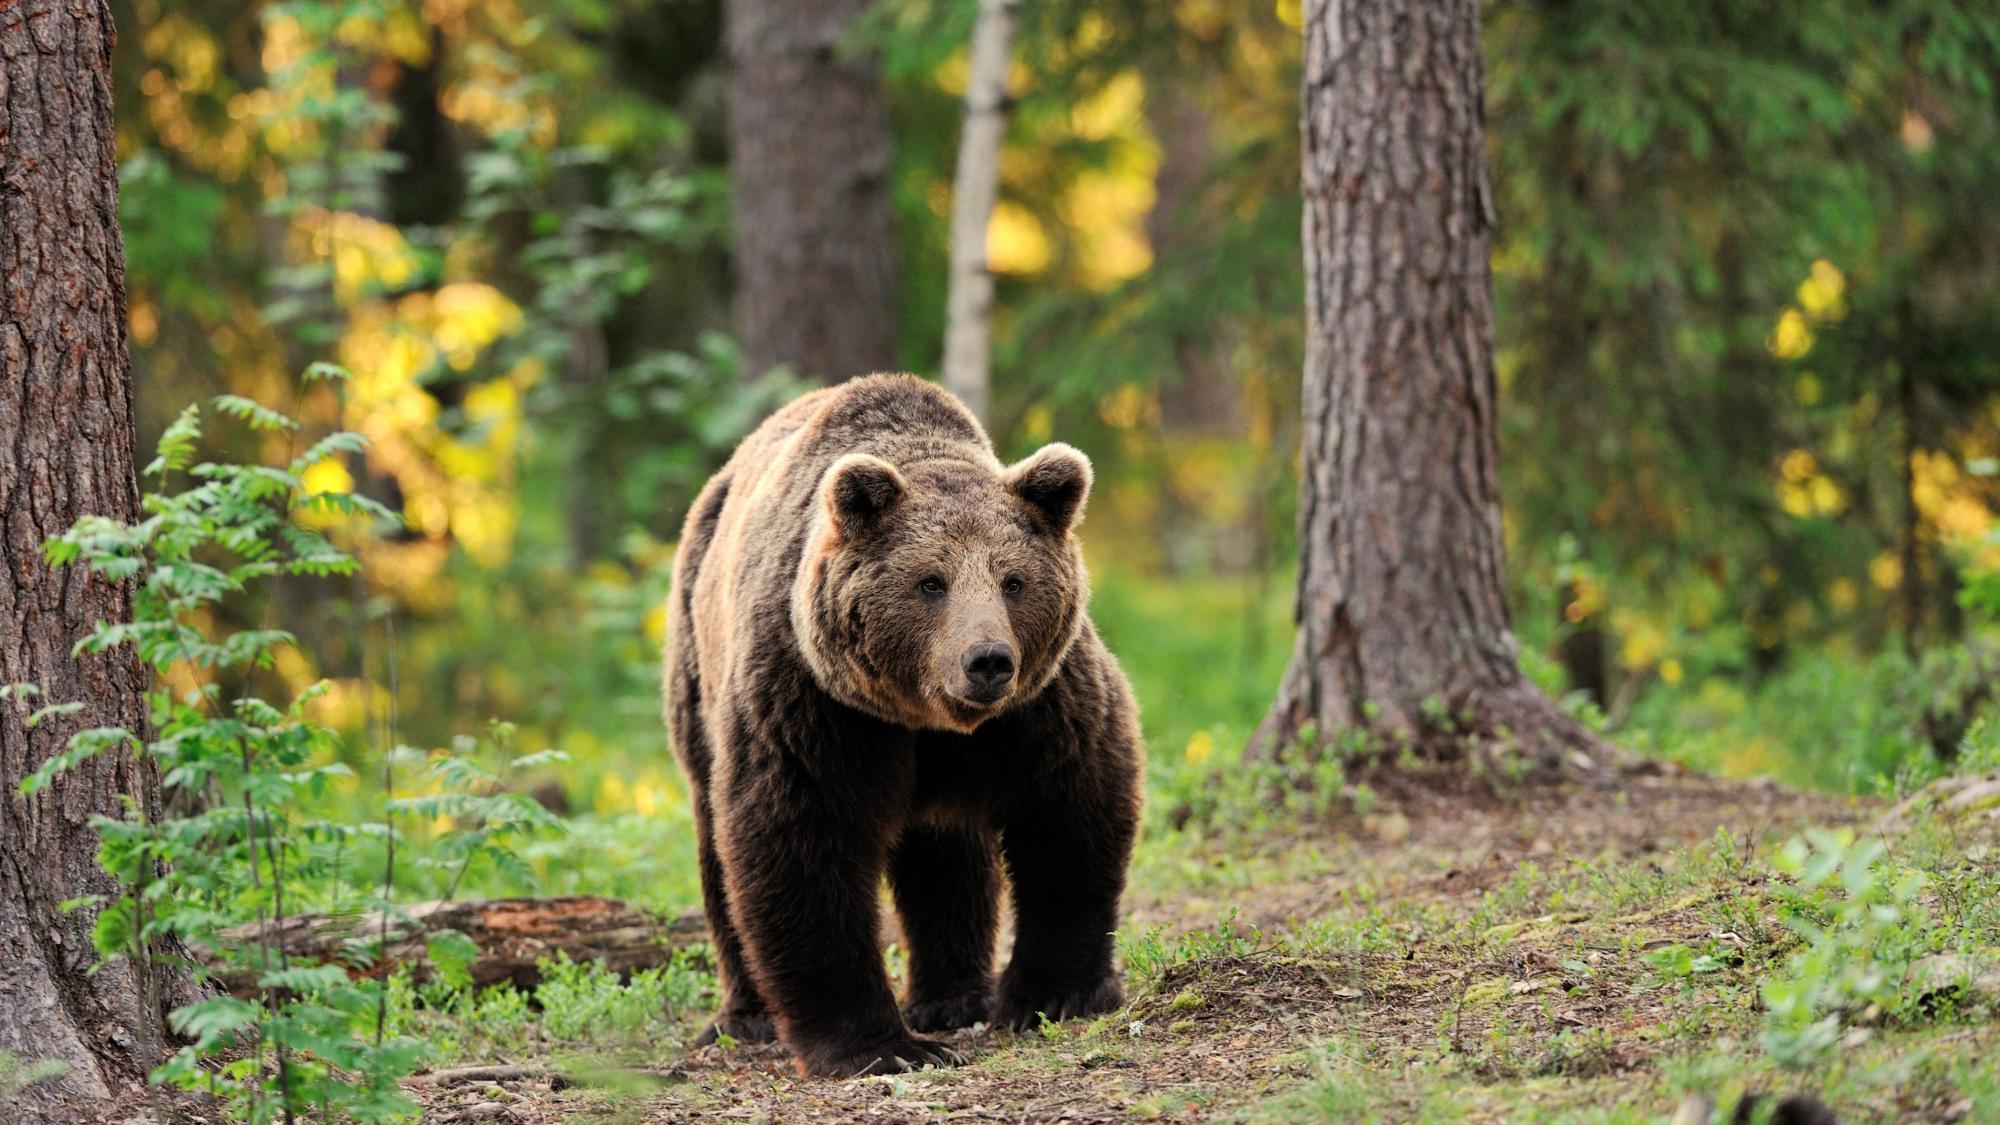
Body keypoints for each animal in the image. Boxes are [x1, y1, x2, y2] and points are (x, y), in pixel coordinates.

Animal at [663, 373, 1144, 1078]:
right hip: (697, 669)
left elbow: (1069, 812)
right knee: (717, 847)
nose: (987, 661)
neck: (923, 716)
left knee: (946, 851)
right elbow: (801, 842)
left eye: (1013, 581)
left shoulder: (1041, 706)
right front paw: (878, 1044)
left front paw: (1055, 994)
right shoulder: (814, 701)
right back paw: (747, 1016)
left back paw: (952, 998)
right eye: (930, 582)